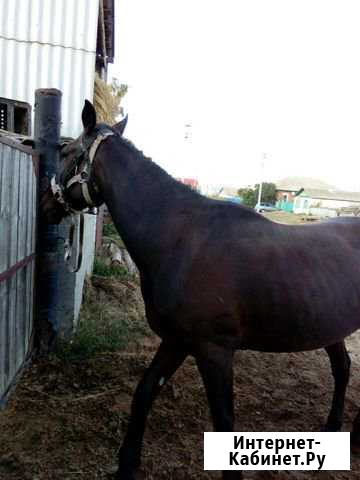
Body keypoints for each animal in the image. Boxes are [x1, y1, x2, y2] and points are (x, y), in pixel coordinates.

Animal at [39, 99, 360, 478]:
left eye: (65, 151)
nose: (45, 204)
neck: (180, 238)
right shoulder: (177, 340)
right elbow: (144, 392)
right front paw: (126, 465)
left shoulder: (214, 351)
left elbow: (224, 422)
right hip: (330, 327)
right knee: (342, 368)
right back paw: (335, 429)